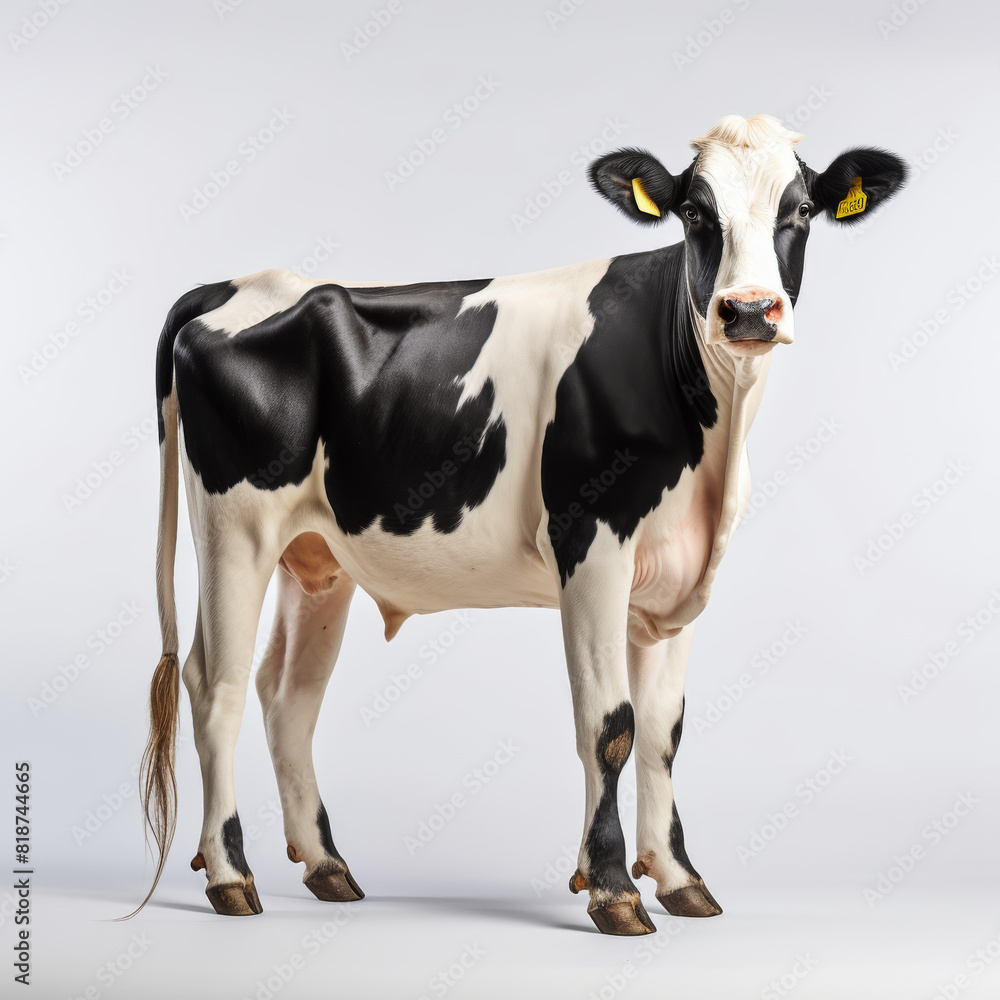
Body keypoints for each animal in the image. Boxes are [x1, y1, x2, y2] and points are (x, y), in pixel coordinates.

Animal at [137, 117, 912, 936]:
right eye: (696, 213)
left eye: (802, 211)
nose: (751, 310)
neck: (714, 443)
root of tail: (240, 284)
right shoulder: (591, 545)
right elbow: (611, 725)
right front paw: (614, 889)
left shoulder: (677, 576)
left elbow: (663, 730)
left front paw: (679, 878)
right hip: (234, 528)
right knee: (214, 682)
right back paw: (231, 875)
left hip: (315, 555)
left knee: (288, 693)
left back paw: (327, 867)